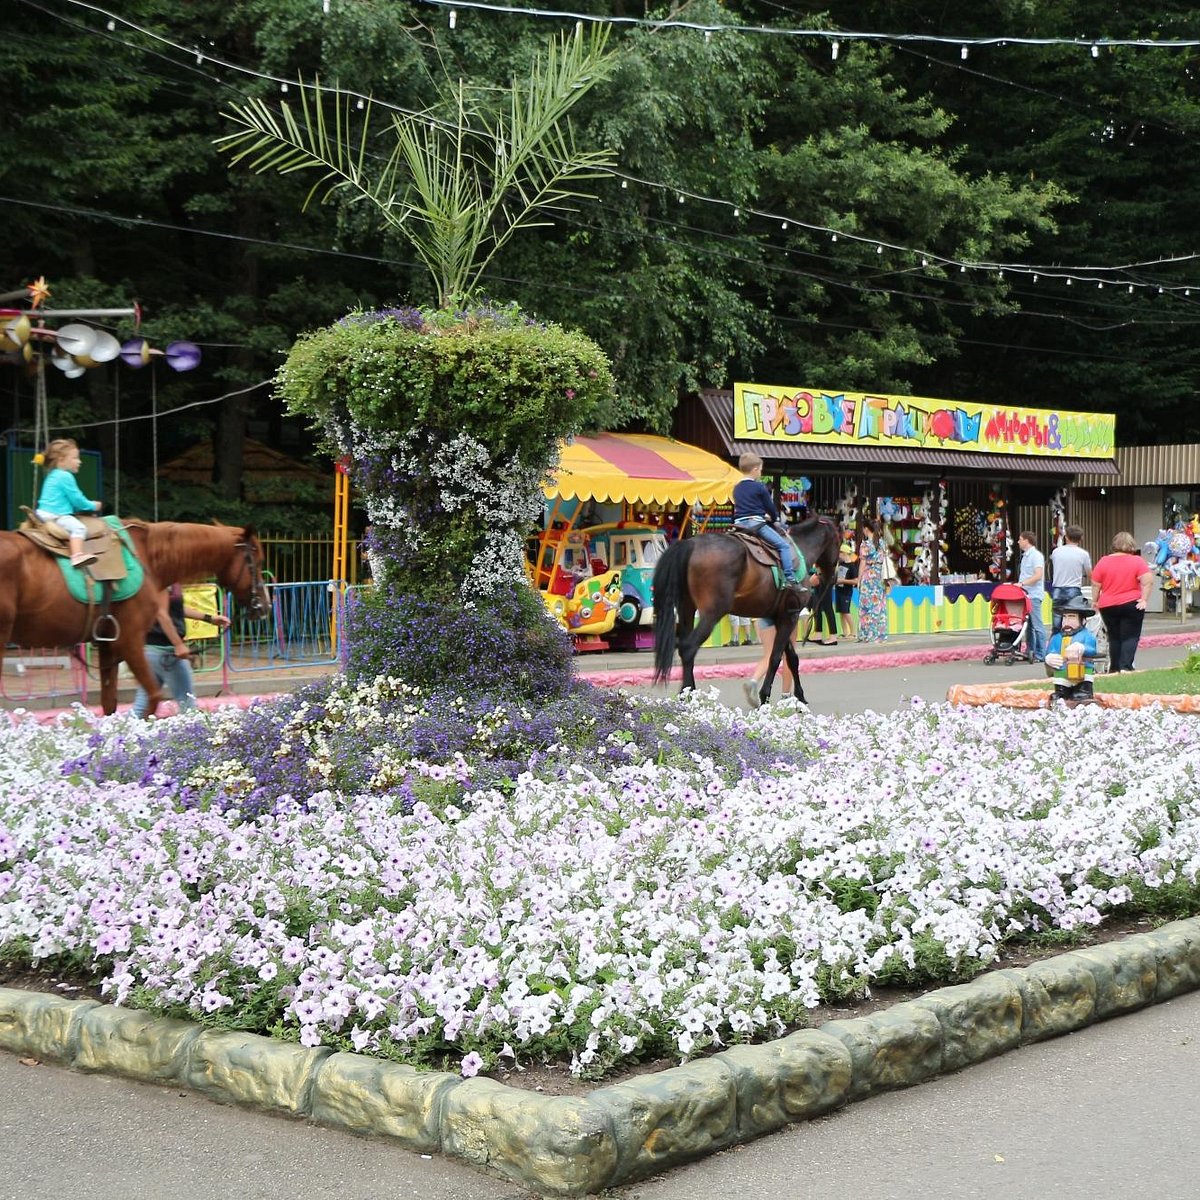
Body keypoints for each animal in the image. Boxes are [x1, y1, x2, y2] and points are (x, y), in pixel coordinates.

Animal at [0, 520, 267, 715]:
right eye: (256, 560)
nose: (264, 605)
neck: (146, 557)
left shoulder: (107, 646)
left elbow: (110, 703)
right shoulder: (130, 641)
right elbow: (153, 697)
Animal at [652, 513, 840, 700]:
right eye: (838, 542)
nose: (833, 576)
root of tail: (690, 543)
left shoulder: (780, 617)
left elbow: (791, 658)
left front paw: (799, 696)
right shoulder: (790, 617)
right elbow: (775, 657)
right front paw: (764, 696)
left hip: (686, 609)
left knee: (684, 646)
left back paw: (687, 694)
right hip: (712, 613)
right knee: (688, 647)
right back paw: (688, 695)